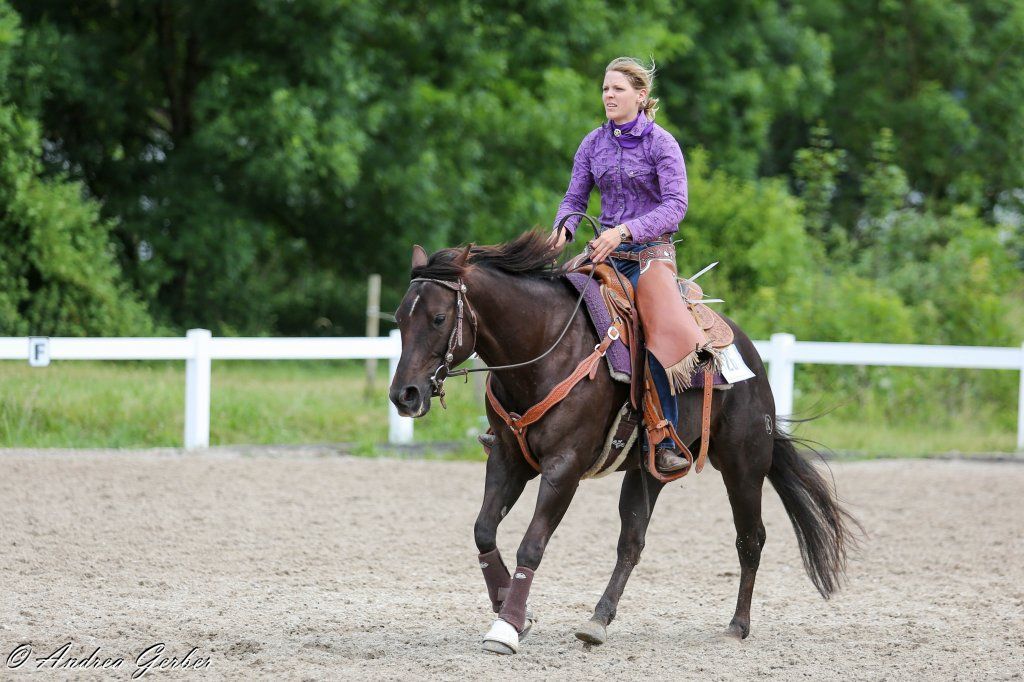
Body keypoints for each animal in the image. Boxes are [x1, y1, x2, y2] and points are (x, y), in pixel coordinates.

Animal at [389, 230, 859, 654]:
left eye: (438, 318)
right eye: (399, 318)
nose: (403, 395)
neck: (545, 349)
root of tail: (750, 357)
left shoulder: (563, 469)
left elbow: (532, 544)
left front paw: (507, 627)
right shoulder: (507, 459)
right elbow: (484, 531)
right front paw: (512, 608)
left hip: (744, 467)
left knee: (751, 539)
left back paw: (737, 626)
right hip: (647, 472)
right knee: (632, 543)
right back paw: (597, 621)